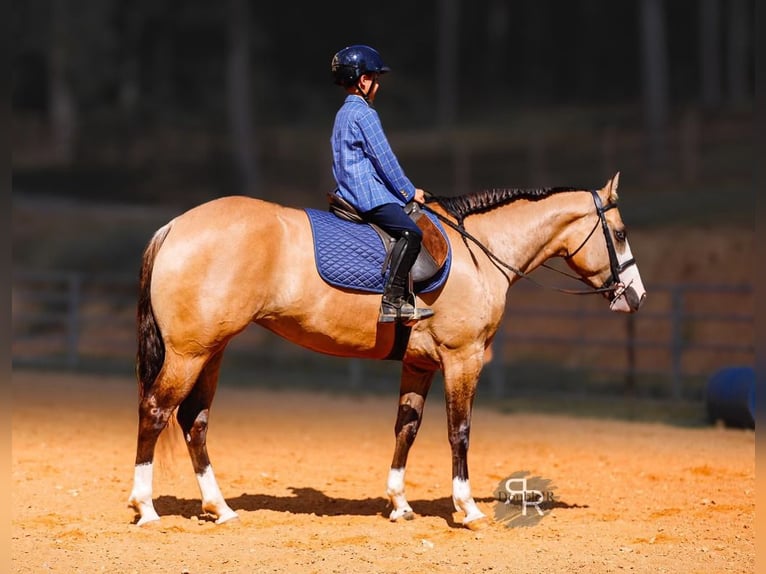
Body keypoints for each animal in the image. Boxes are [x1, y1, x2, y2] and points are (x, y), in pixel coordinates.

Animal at [128, 172, 646, 530]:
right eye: (619, 233)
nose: (636, 296)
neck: (479, 252)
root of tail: (175, 226)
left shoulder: (419, 364)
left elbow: (406, 429)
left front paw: (399, 504)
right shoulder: (463, 357)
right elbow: (459, 432)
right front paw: (468, 508)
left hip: (210, 351)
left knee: (193, 421)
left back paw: (219, 507)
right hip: (189, 353)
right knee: (156, 411)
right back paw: (146, 507)